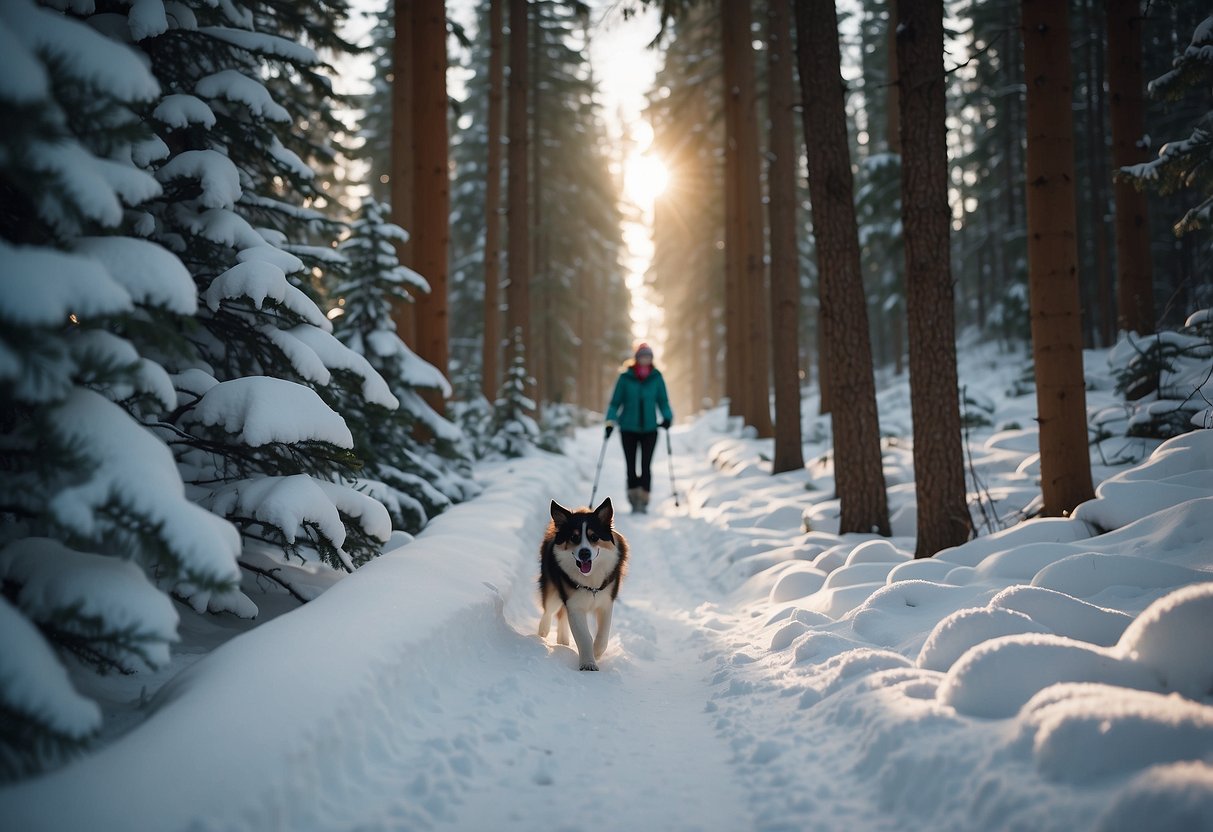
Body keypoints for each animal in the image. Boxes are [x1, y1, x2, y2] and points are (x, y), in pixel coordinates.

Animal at [543, 502, 630, 669]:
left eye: (594, 537)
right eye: (574, 537)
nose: (584, 553)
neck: (590, 582)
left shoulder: (606, 602)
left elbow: (603, 635)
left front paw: (596, 653)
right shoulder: (574, 604)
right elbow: (584, 637)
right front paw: (588, 663)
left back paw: (563, 640)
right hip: (552, 588)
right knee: (549, 610)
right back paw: (542, 632)